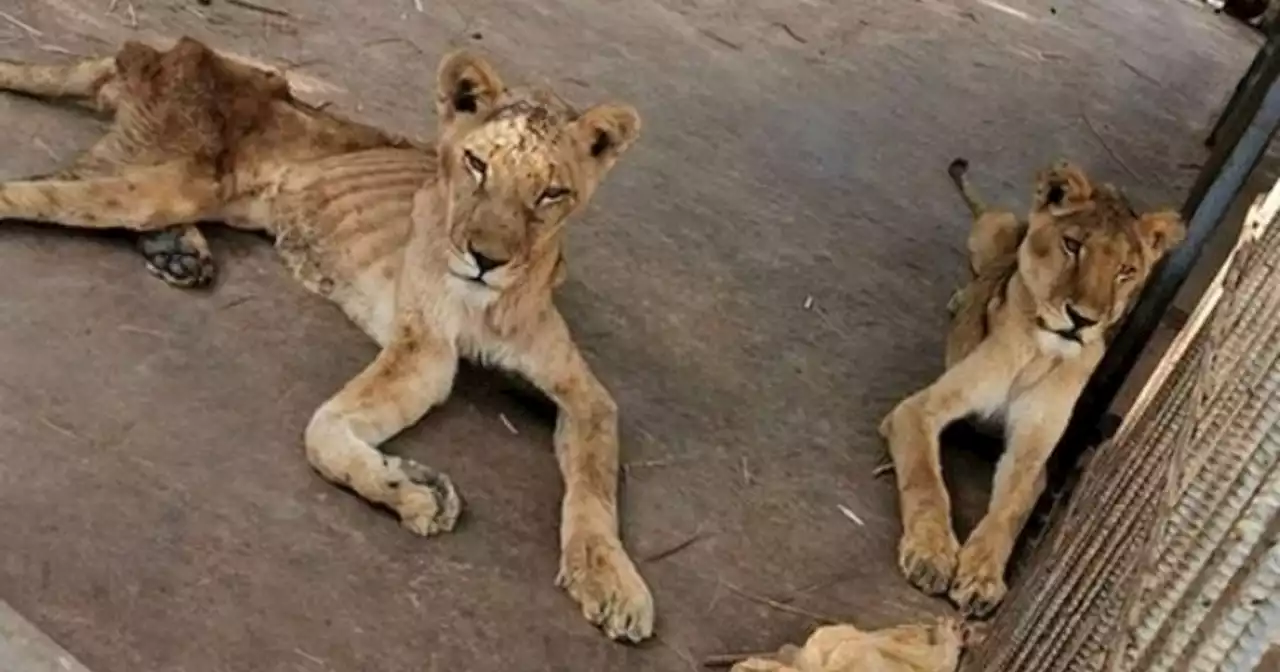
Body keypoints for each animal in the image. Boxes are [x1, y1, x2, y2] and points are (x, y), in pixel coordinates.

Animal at [0, 35, 655, 640]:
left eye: (551, 193)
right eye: (476, 164)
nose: (485, 260)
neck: (490, 301)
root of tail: (163, 52)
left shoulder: (584, 394)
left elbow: (594, 486)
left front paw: (612, 582)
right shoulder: (425, 351)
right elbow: (325, 432)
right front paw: (415, 491)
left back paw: (179, 253)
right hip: (164, 181)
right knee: (32, 189)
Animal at [875, 157, 1182, 619]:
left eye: (1126, 272)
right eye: (1072, 245)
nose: (1083, 320)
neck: (1040, 350)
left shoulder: (1032, 454)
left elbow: (1010, 509)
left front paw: (981, 576)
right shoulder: (917, 410)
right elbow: (926, 479)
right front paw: (932, 554)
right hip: (994, 230)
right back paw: (961, 297)